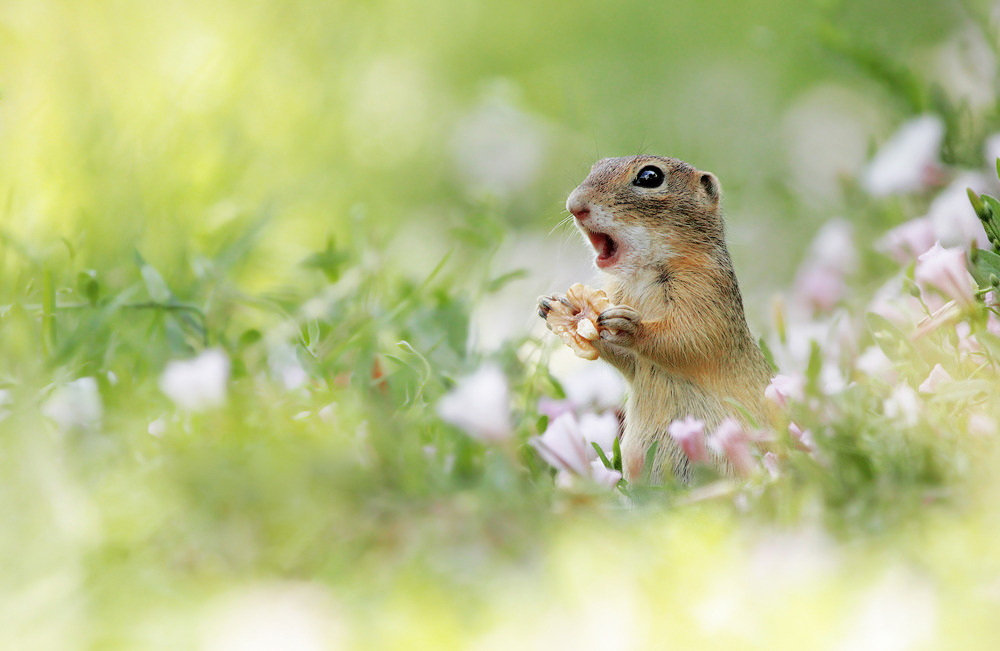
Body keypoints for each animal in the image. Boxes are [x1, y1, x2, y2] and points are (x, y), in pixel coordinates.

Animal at [540, 155, 772, 484]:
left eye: (650, 177)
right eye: (596, 166)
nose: (574, 205)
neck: (641, 275)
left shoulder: (705, 292)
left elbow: (689, 338)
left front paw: (630, 326)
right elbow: (629, 361)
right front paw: (555, 307)